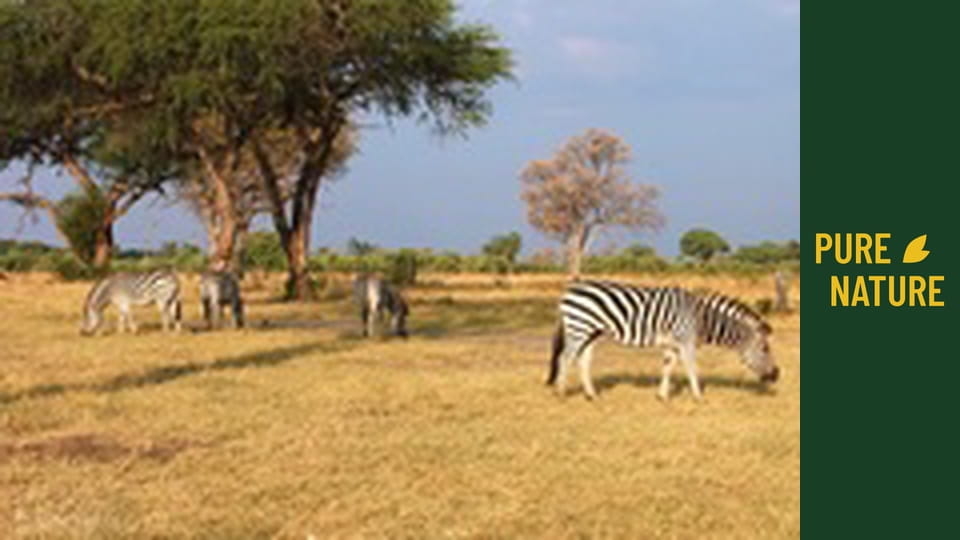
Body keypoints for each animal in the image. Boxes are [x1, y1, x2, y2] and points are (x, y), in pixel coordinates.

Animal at [547, 280, 778, 401]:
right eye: (765, 348)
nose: (777, 376)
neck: (700, 318)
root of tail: (571, 288)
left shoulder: (673, 344)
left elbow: (668, 366)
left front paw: (663, 396)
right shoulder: (685, 341)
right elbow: (691, 367)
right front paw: (698, 396)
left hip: (591, 332)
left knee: (583, 360)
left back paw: (591, 395)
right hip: (579, 327)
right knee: (565, 358)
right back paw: (561, 393)